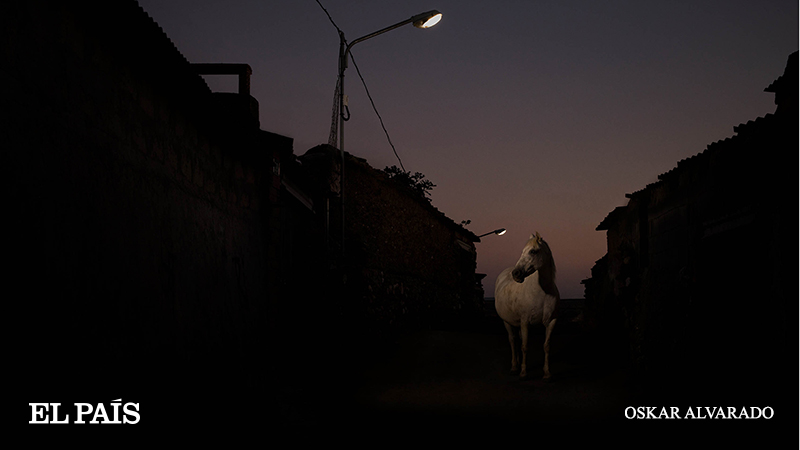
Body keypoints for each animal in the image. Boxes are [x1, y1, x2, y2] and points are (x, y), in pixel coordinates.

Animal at [496, 232, 560, 380]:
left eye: (533, 251)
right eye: (522, 251)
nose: (516, 274)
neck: (543, 292)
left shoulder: (551, 322)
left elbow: (546, 346)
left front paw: (547, 373)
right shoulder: (525, 322)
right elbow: (525, 346)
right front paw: (523, 373)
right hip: (506, 322)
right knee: (513, 341)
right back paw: (515, 367)